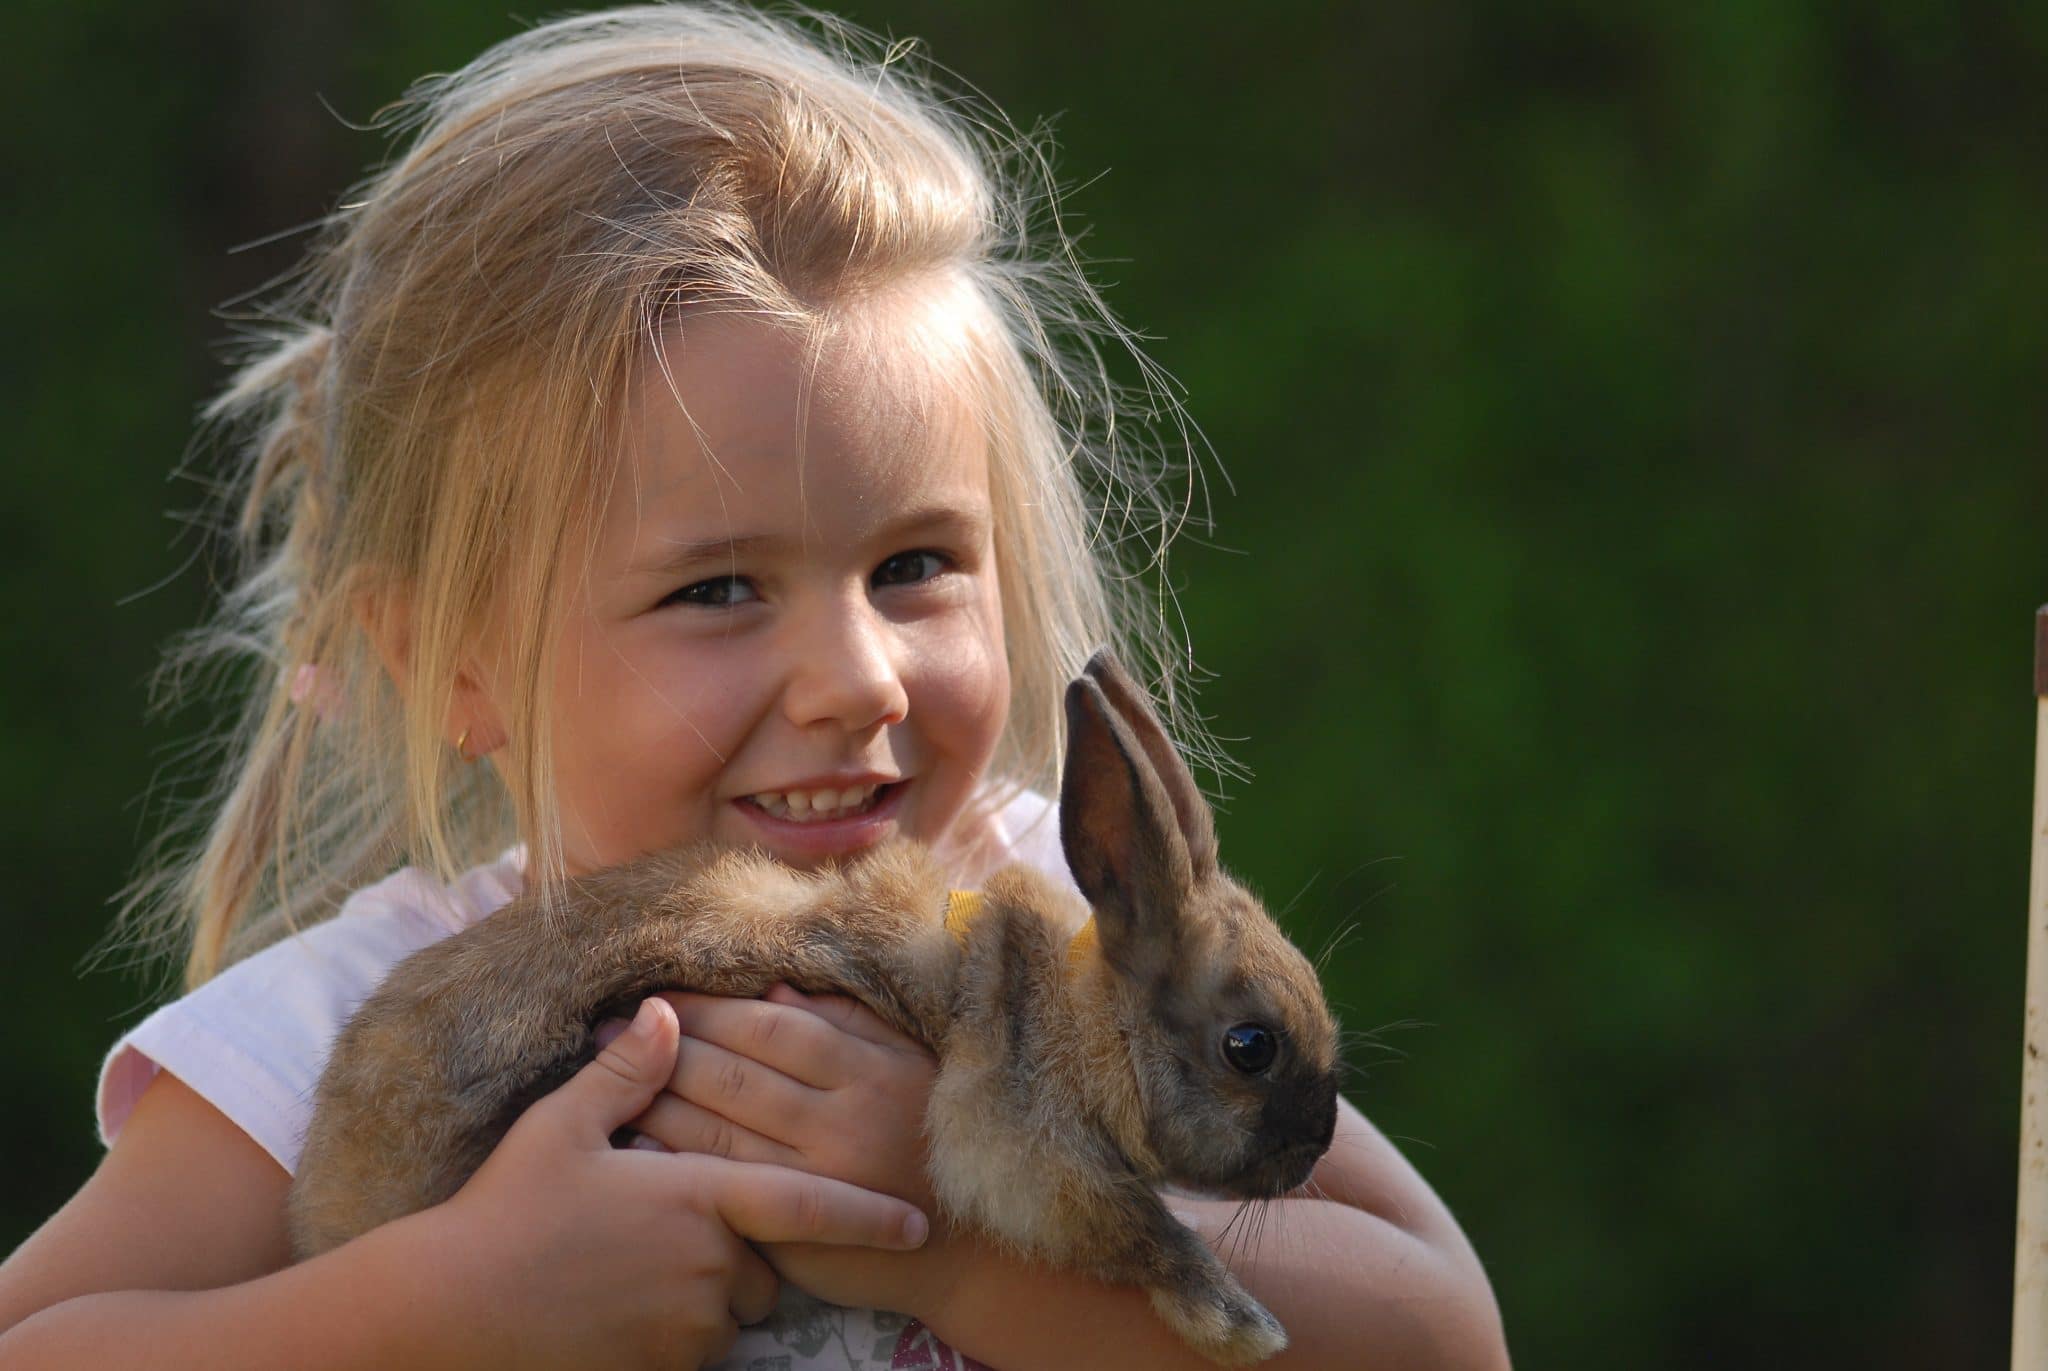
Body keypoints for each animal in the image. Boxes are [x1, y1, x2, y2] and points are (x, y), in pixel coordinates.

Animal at [288, 651, 1343, 1360]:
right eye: (1250, 1045)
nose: (1315, 1146)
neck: (1072, 1011)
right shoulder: (1022, 1142)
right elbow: (1135, 1229)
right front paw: (1242, 1323)